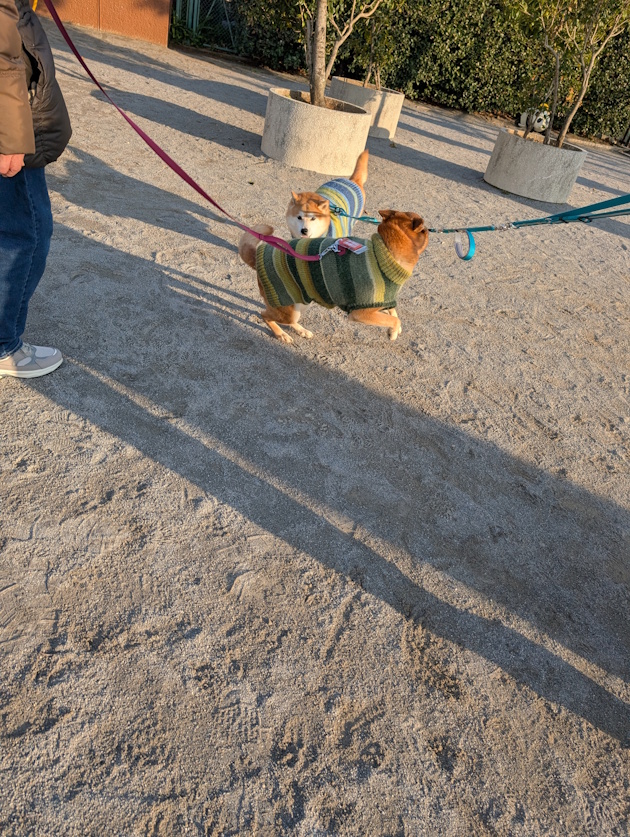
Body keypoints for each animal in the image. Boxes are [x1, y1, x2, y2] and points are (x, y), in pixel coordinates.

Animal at [239, 209, 429, 344]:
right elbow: (394, 319)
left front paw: (395, 328)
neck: (384, 251)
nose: (430, 229)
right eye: (425, 231)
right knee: (265, 315)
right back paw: (281, 334)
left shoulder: (383, 300)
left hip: (299, 303)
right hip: (287, 307)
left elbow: (393, 312)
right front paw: (393, 332)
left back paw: (301, 330)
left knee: (286, 318)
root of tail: (258, 257)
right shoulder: (361, 313)